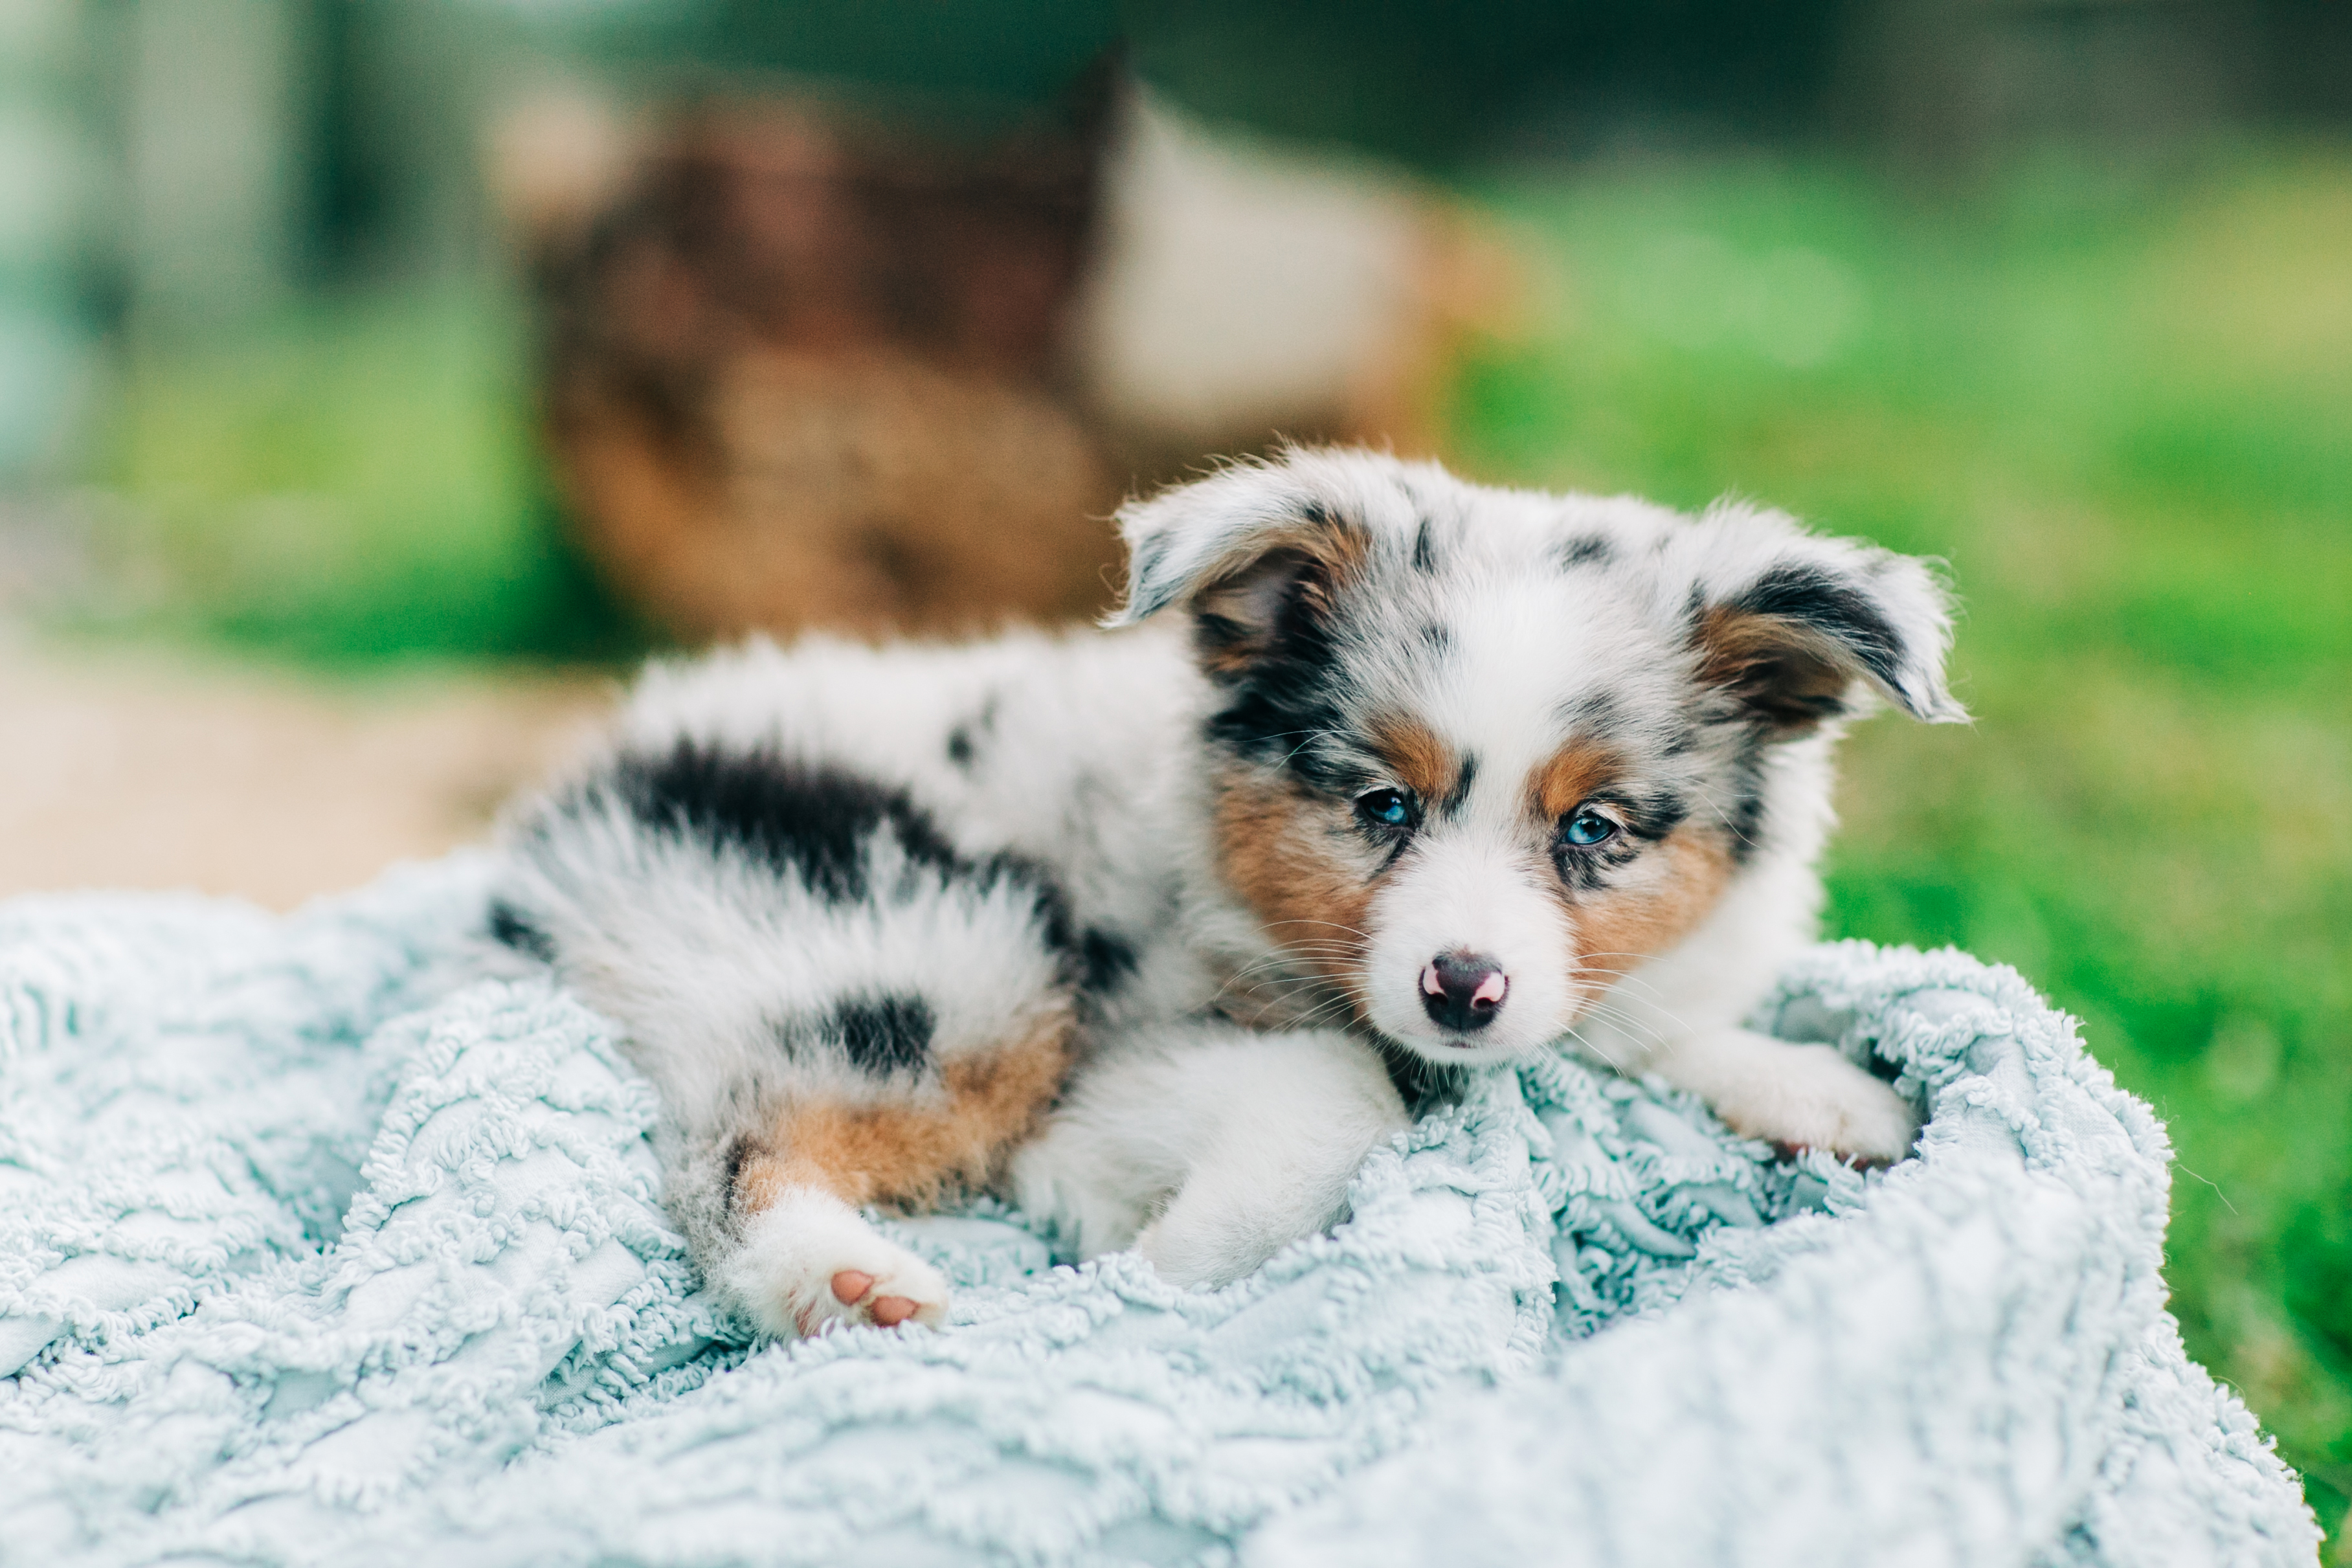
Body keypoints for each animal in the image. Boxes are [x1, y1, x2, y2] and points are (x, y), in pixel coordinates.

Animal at [496, 446, 1966, 1345]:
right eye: (1381, 805)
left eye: (1592, 829)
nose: (1461, 987)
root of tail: (586, 794)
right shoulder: (1116, 1059)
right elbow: (1339, 1099)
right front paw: (1162, 1260)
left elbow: (1631, 1031)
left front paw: (1827, 1089)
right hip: (945, 954)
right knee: (728, 1136)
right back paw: (842, 1281)